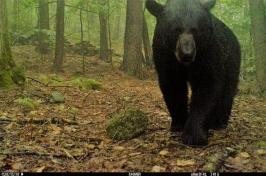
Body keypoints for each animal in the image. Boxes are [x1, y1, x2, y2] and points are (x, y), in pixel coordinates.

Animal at [147, 0, 242, 146]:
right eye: (176, 30)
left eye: (195, 30)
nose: (187, 54)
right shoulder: (165, 55)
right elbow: (173, 86)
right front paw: (178, 124)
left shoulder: (208, 52)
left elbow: (206, 87)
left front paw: (194, 135)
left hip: (231, 61)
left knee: (227, 91)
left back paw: (219, 122)